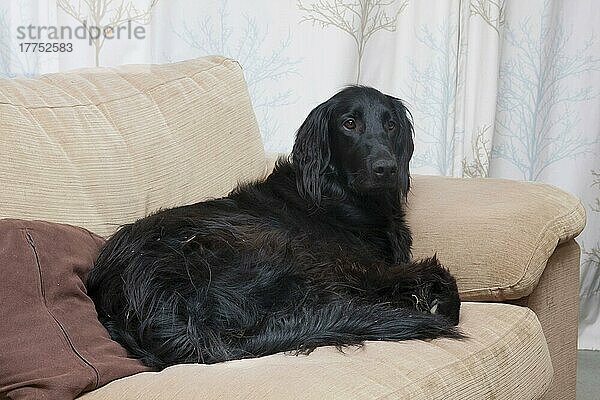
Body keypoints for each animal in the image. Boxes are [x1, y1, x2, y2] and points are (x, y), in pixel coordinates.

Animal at [86, 85, 462, 368]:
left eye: (391, 125)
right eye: (349, 123)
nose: (386, 168)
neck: (344, 198)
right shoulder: (358, 265)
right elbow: (433, 272)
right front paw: (431, 299)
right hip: (283, 252)